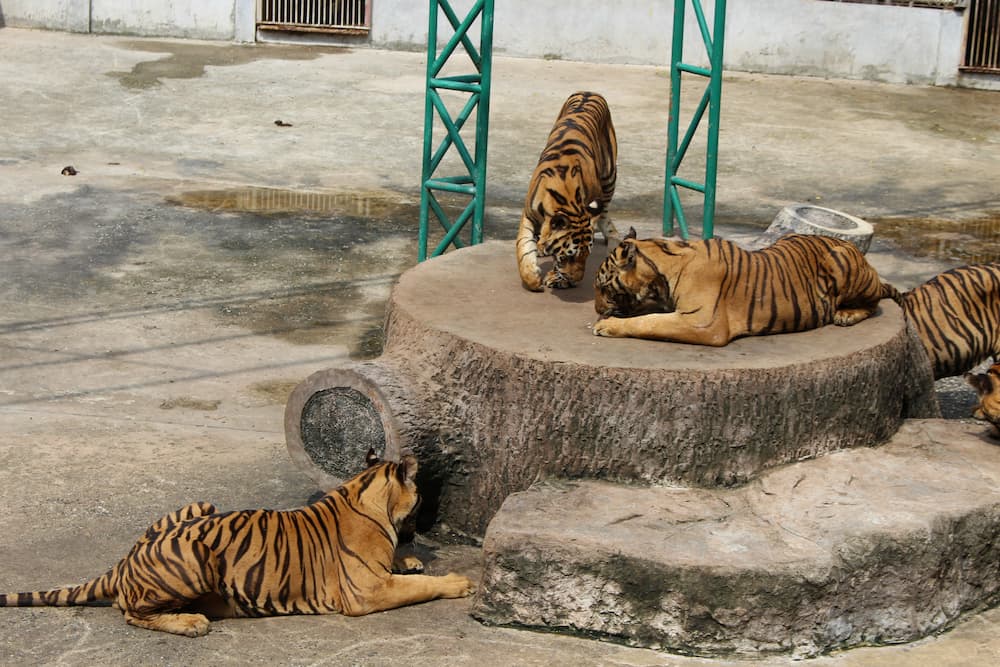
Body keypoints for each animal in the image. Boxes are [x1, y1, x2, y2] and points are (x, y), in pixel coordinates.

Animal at [0, 452, 474, 640]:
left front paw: (410, 559)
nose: (421, 527)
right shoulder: (367, 592)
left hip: (202, 506)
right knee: (131, 611)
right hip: (195, 557)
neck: (364, 489)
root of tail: (124, 561)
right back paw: (191, 622)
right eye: (420, 494)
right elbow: (420, 588)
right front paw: (458, 582)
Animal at [516, 92, 616, 292]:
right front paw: (532, 278)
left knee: (605, 212)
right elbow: (523, 248)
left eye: (586, 255)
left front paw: (558, 279)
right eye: (569, 256)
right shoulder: (528, 215)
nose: (576, 281)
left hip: (609, 176)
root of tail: (589, 92)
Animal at [592, 228, 900, 348]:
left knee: (876, 300)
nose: (596, 308)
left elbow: (651, 322)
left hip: (840, 260)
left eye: (603, 287)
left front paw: (606, 325)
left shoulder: (703, 323)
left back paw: (846, 314)